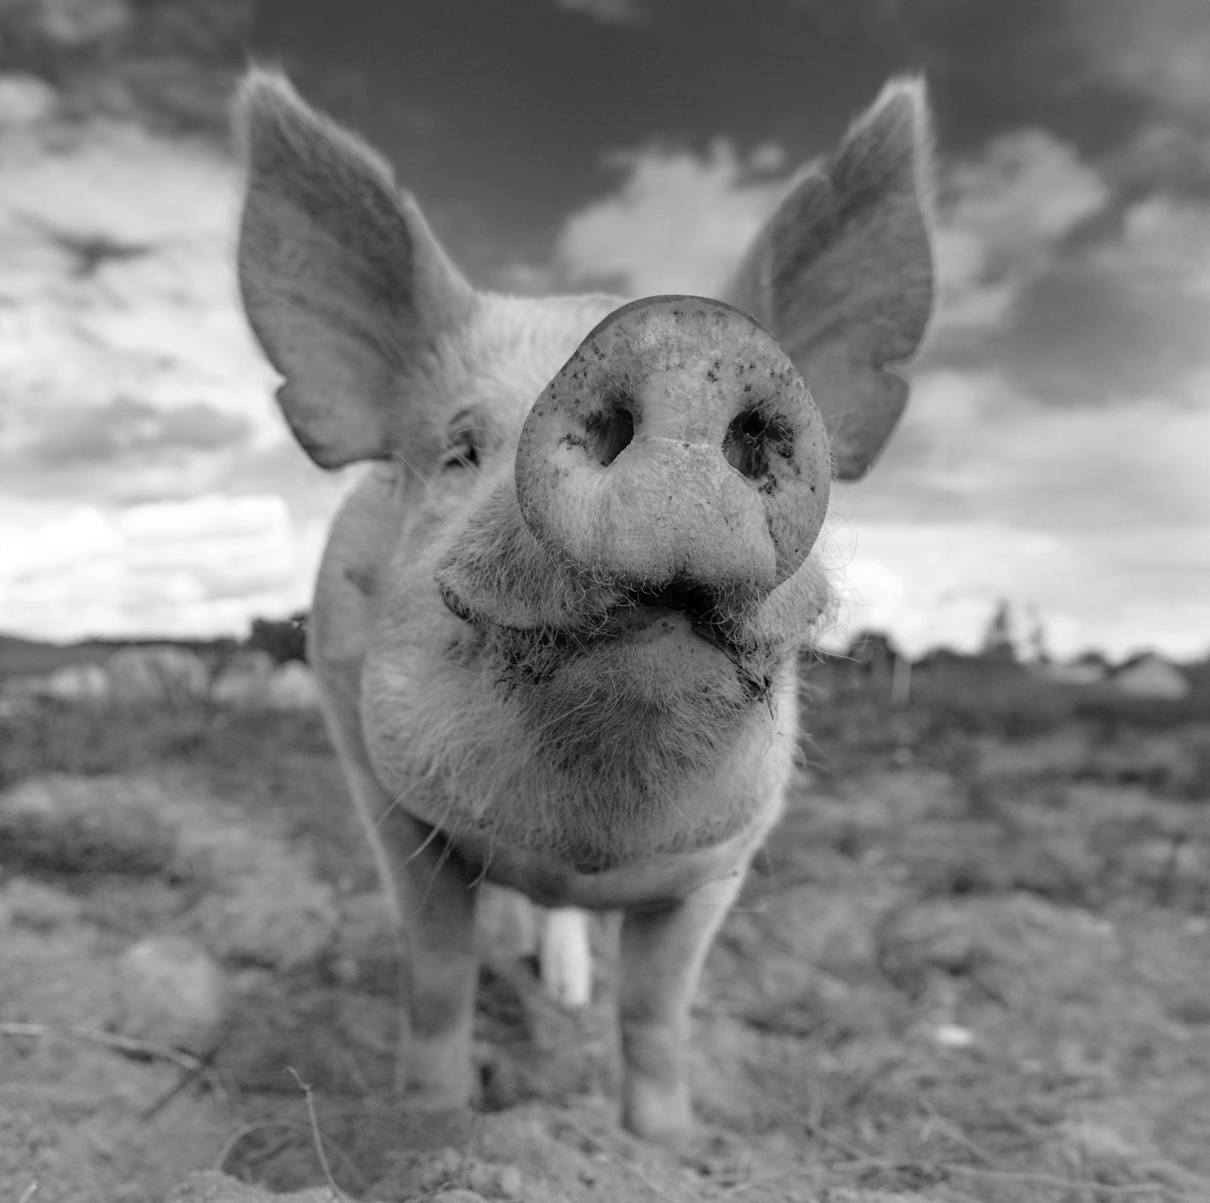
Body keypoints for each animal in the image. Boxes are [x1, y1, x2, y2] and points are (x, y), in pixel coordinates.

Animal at [234, 69, 933, 1146]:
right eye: (459, 448)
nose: (684, 337)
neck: (582, 844)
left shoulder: (722, 863)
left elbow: (655, 1009)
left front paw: (666, 1145)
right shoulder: (389, 807)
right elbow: (437, 976)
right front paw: (429, 1125)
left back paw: (565, 992)